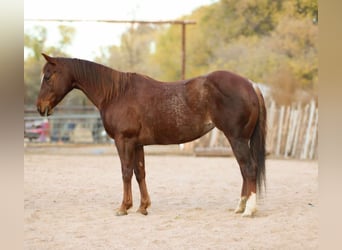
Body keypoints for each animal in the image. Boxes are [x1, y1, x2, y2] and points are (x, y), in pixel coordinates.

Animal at [37, 53, 268, 217]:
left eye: (48, 76)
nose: (40, 107)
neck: (116, 93)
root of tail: (250, 84)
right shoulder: (137, 144)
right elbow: (140, 173)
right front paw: (143, 207)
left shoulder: (124, 141)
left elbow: (126, 172)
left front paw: (124, 207)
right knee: (244, 170)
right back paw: (240, 206)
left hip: (237, 139)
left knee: (249, 168)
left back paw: (249, 210)